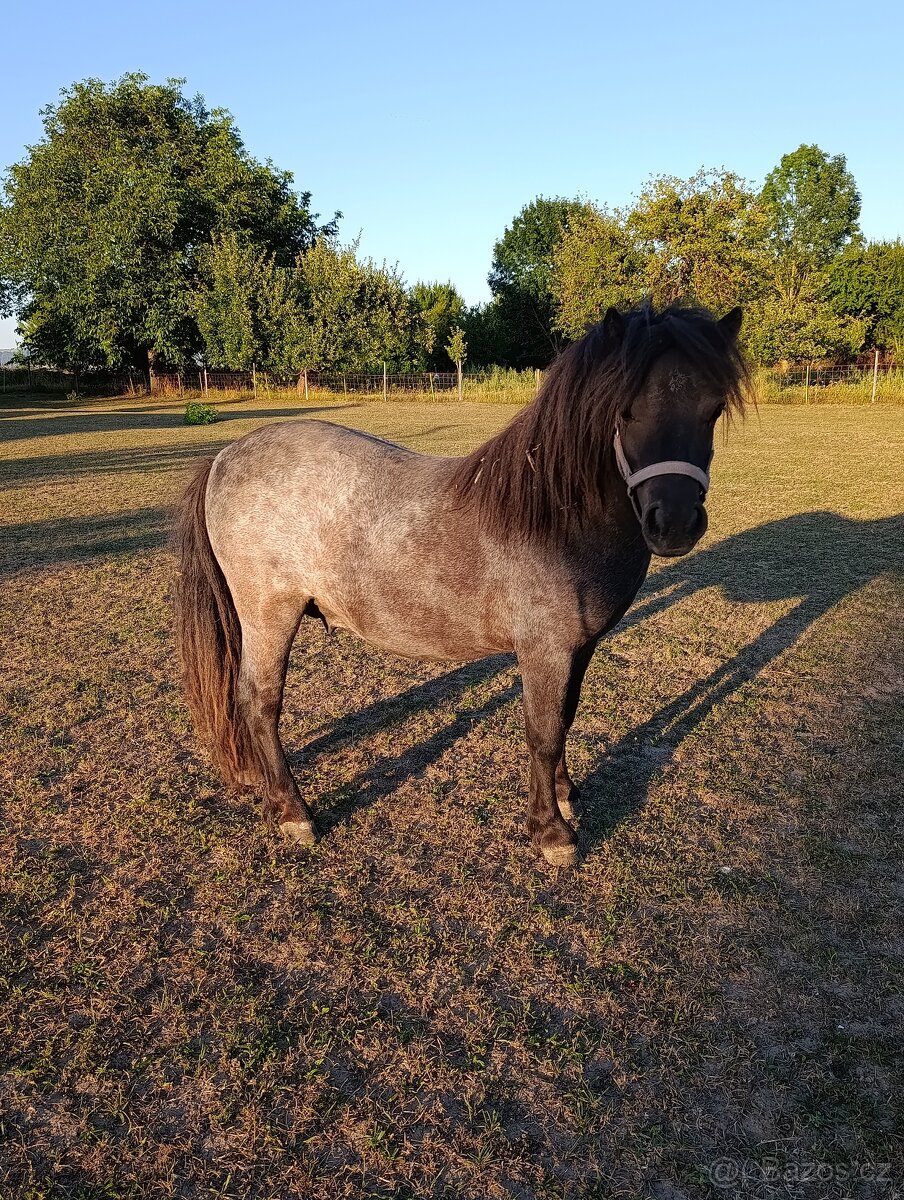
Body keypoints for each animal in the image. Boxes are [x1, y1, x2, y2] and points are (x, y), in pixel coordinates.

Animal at [174, 303, 748, 867]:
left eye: (713, 409)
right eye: (623, 411)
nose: (673, 523)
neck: (556, 517)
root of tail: (224, 457)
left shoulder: (579, 646)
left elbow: (565, 717)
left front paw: (566, 794)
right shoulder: (543, 650)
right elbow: (542, 732)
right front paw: (551, 832)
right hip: (269, 614)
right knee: (260, 701)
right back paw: (293, 811)